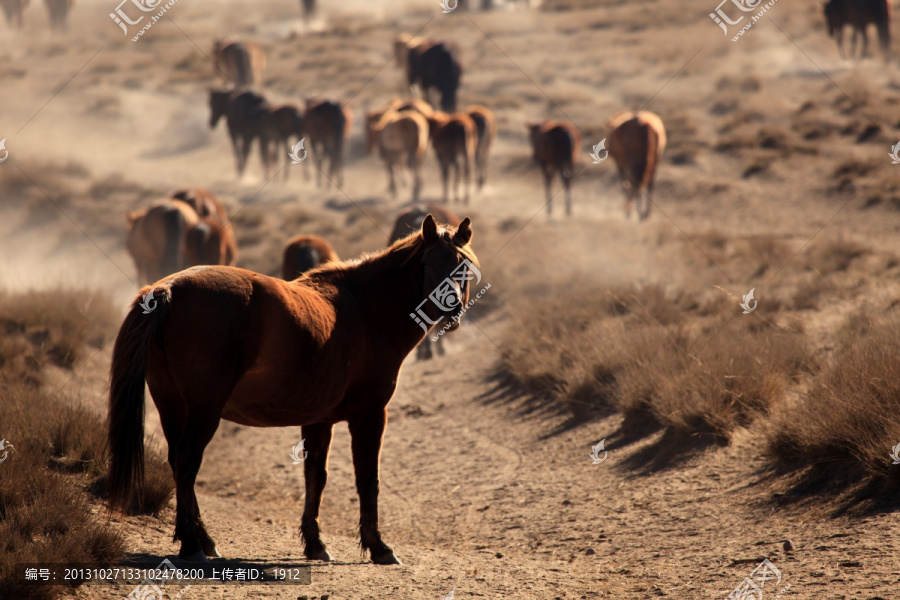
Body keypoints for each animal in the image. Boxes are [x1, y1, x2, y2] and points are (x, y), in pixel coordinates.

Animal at [107, 217, 478, 568]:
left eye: (463, 266)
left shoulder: (318, 421)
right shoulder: (369, 415)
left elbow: (316, 476)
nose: (452, 308)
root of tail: (167, 288)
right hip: (203, 410)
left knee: (177, 460)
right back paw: (192, 546)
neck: (367, 311)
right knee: (186, 461)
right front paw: (379, 547)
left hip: (172, 405)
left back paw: (202, 539)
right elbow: (367, 479)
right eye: (428, 263)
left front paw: (315, 545)